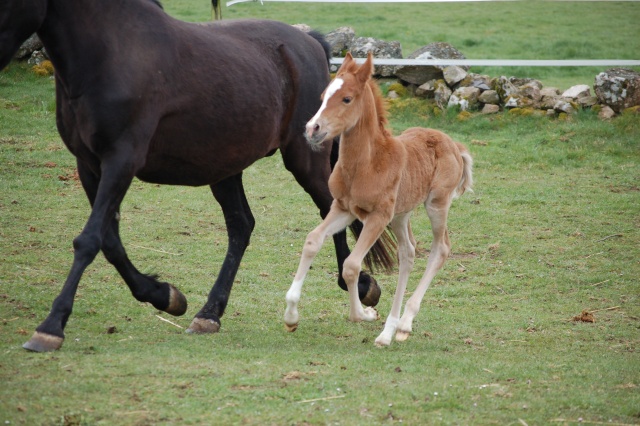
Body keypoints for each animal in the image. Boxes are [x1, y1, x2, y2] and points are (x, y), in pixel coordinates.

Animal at [1, 0, 390, 352]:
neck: (113, 50)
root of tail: (309, 42)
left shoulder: (121, 161)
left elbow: (89, 240)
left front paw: (50, 327)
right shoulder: (89, 165)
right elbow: (109, 241)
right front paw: (166, 296)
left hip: (303, 156)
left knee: (330, 210)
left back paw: (362, 286)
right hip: (226, 167)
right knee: (242, 226)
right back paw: (209, 313)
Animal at [284, 53, 470, 346]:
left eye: (347, 99)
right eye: (323, 96)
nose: (312, 128)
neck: (367, 164)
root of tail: (454, 145)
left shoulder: (378, 216)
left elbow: (351, 265)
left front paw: (364, 314)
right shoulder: (343, 208)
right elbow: (312, 241)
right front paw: (291, 316)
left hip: (436, 205)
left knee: (440, 249)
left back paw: (403, 324)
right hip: (401, 215)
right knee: (408, 252)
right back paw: (390, 329)